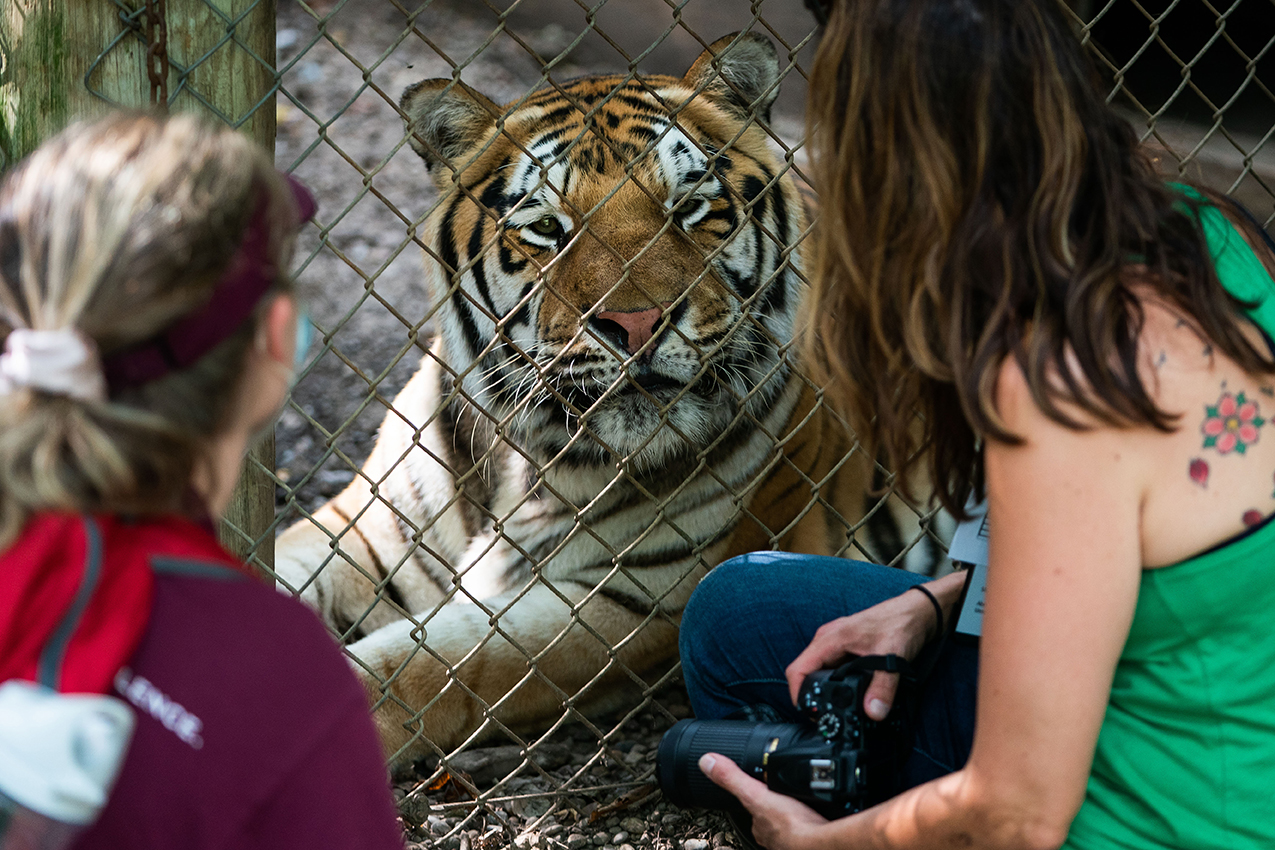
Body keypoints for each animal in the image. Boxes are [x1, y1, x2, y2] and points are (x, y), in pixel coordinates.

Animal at [274, 33, 948, 769]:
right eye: (547, 227)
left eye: (689, 208)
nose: (638, 323)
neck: (530, 460)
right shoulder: (365, 532)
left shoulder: (639, 602)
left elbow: (429, 663)